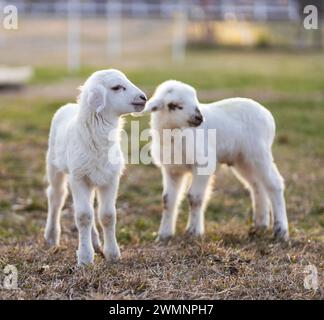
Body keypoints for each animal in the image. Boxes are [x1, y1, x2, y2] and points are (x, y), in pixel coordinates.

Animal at [44, 69, 147, 264]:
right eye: (116, 87)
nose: (143, 97)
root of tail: (69, 106)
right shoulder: (78, 178)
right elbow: (83, 216)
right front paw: (85, 258)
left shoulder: (110, 178)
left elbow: (107, 215)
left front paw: (112, 254)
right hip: (54, 165)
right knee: (56, 197)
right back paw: (51, 237)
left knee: (90, 206)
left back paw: (95, 242)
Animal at [144, 80, 288, 242]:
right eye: (174, 105)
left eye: (195, 100)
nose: (199, 118)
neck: (175, 136)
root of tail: (267, 114)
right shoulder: (172, 169)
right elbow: (168, 200)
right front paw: (164, 235)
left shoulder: (203, 163)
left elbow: (194, 197)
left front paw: (193, 232)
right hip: (242, 160)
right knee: (257, 185)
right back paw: (259, 226)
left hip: (259, 153)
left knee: (274, 184)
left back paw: (281, 232)